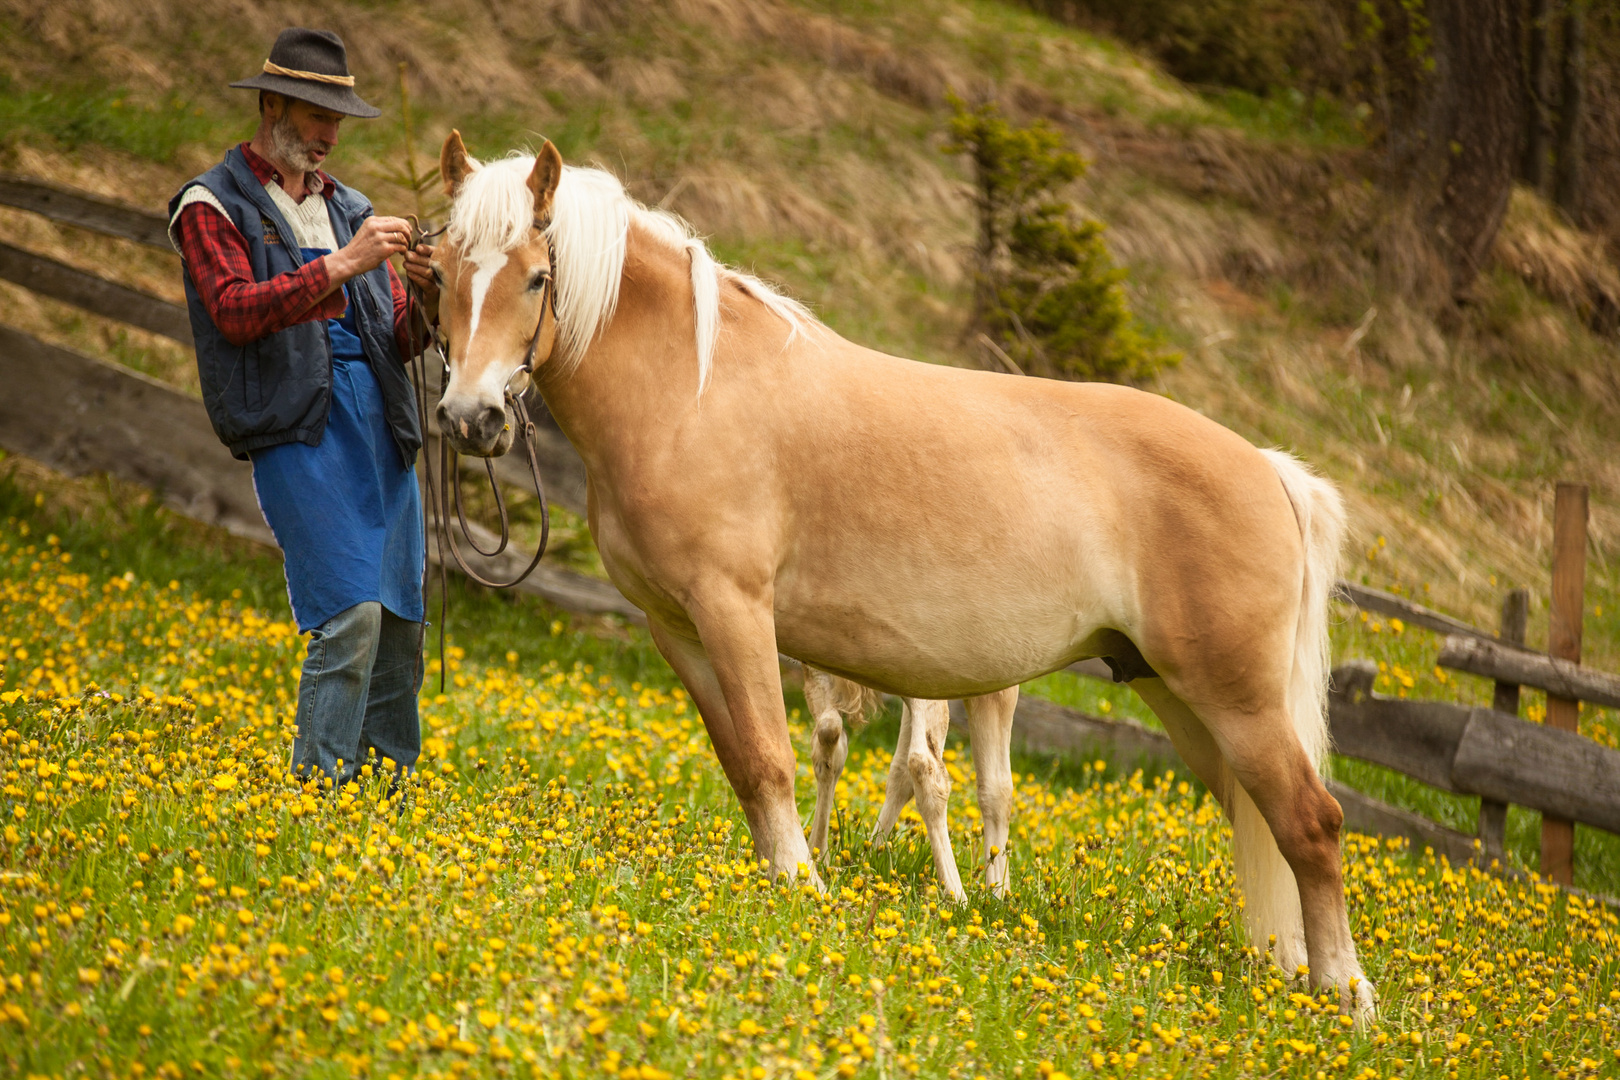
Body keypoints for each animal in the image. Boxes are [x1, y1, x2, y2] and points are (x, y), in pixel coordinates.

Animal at [806, 667, 1017, 906]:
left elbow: (899, 773)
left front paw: (872, 854)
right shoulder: (1000, 684)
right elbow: (997, 787)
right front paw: (999, 894)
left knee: (828, 736)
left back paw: (817, 855)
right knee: (926, 764)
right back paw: (957, 896)